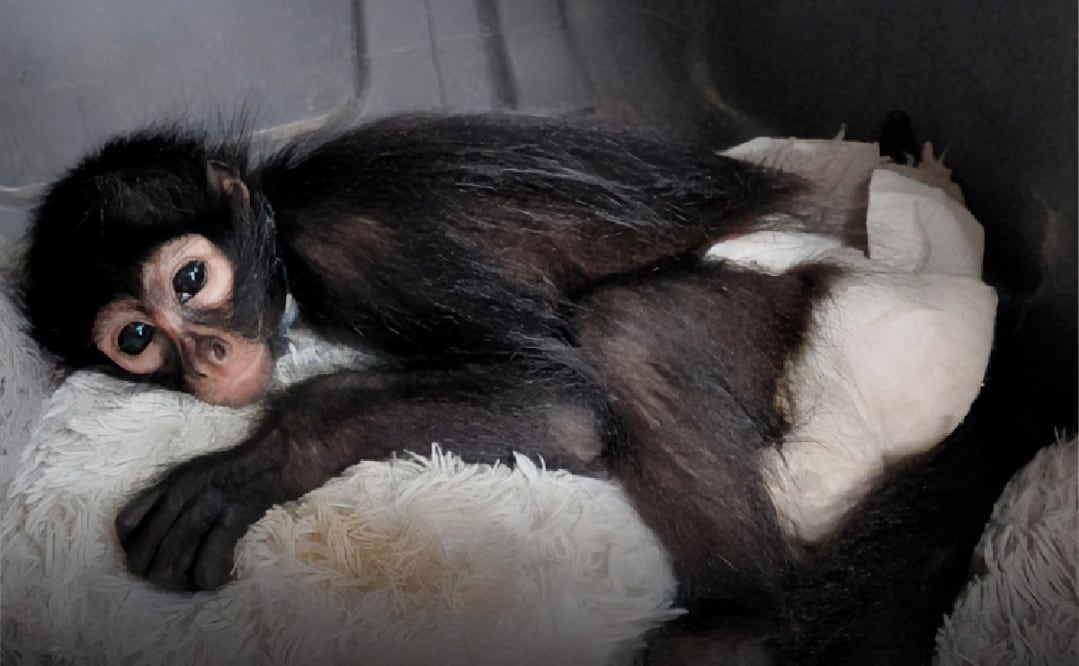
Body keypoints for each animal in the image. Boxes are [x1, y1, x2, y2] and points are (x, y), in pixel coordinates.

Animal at [19, 113, 1014, 664]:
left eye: (190, 281)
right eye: (137, 339)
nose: (212, 361)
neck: (282, 216)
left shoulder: (372, 242)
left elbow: (569, 417)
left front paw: (253, 467)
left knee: (630, 330)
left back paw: (733, 629)